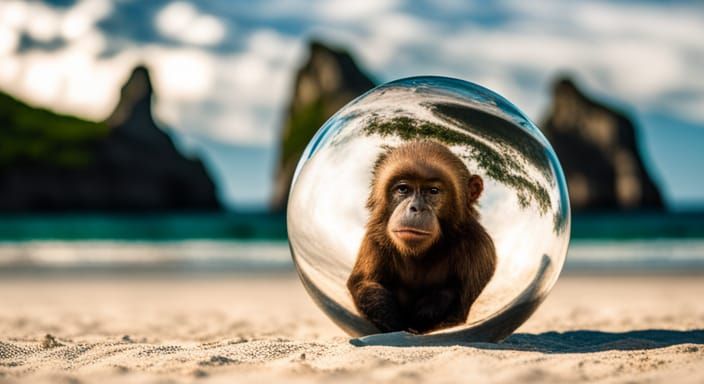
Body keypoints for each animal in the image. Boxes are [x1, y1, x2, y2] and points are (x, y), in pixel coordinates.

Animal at [346, 140, 496, 332]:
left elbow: (457, 309)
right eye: (403, 189)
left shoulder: (479, 248)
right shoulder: (375, 238)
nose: (416, 207)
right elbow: (365, 284)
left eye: (433, 191)